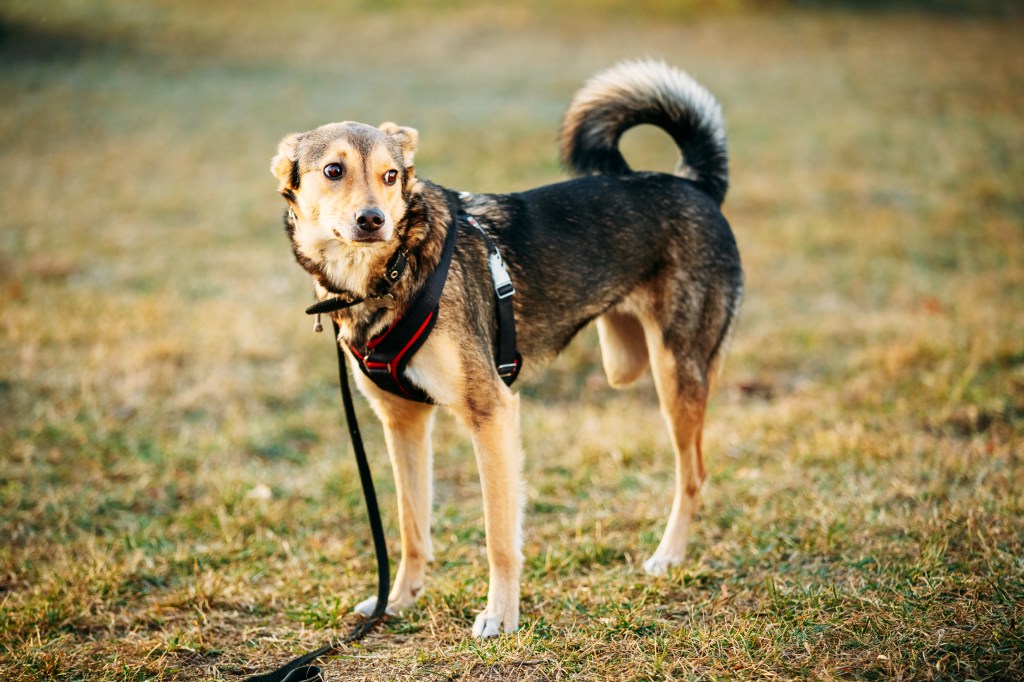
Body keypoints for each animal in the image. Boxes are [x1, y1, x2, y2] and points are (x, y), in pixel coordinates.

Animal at [268, 59, 741, 638]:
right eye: (333, 171)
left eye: (391, 176)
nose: (373, 220)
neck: (390, 273)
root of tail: (696, 185)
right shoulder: (402, 421)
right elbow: (410, 526)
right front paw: (398, 601)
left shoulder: (491, 412)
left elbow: (498, 534)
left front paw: (500, 615)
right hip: (625, 360)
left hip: (677, 370)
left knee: (692, 473)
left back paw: (667, 556)